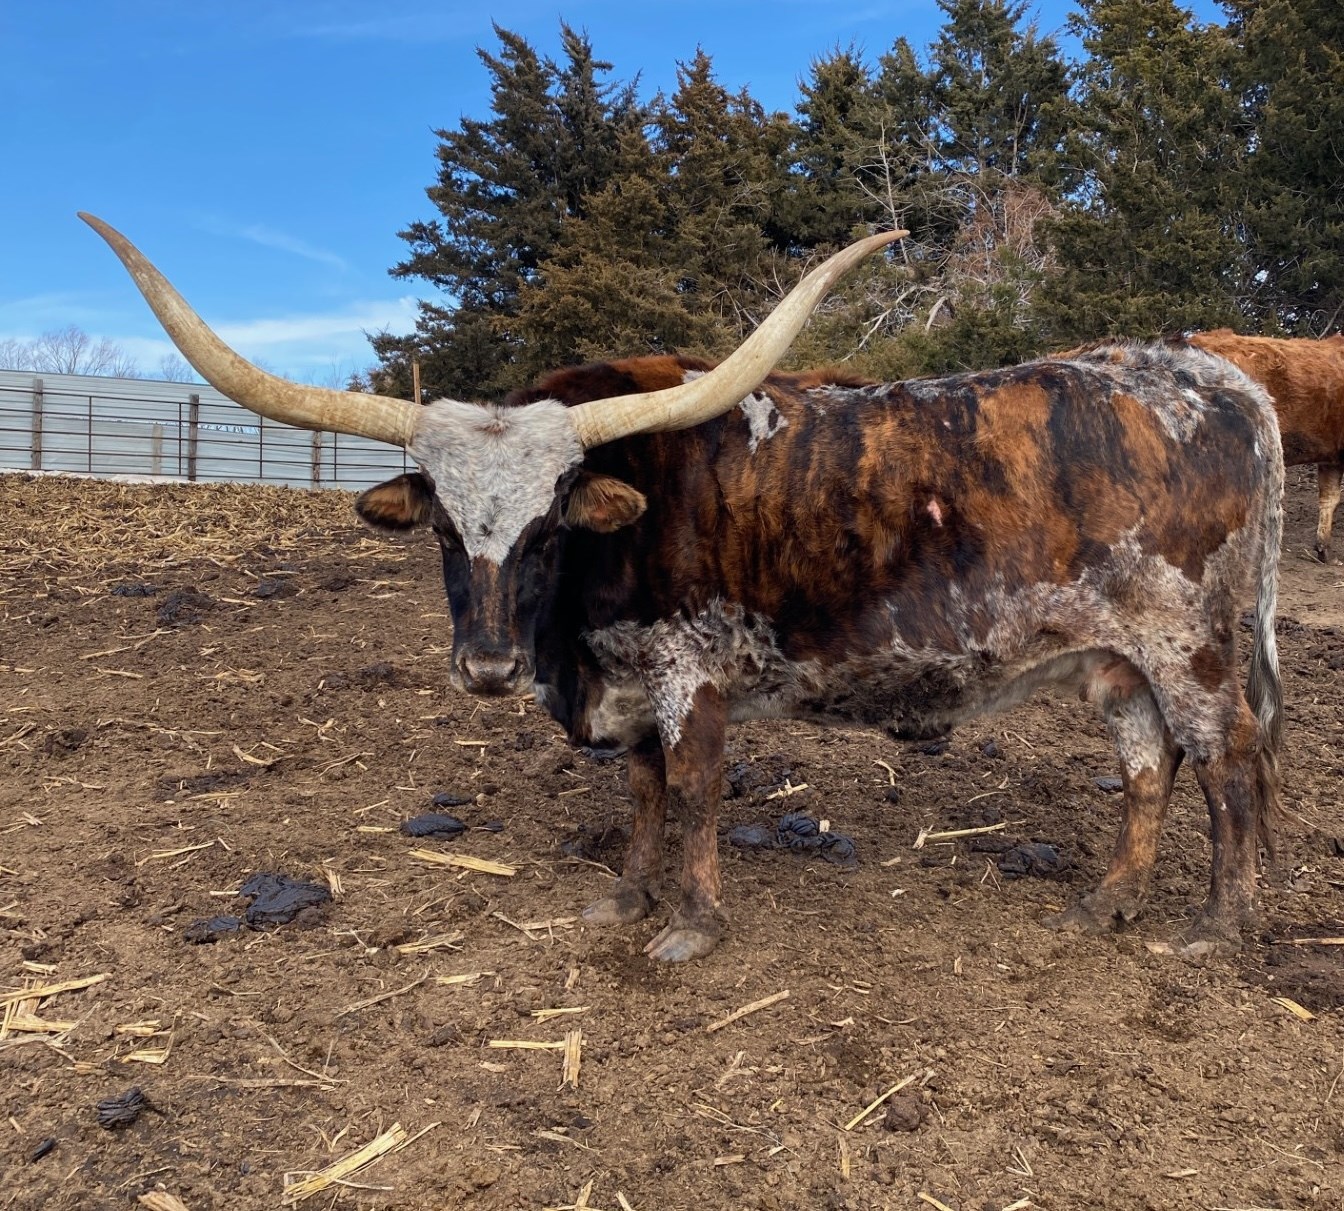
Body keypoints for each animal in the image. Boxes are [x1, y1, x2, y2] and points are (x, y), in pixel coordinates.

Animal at [82, 213, 1285, 963]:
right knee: (1150, 766)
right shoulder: (627, 682)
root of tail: (1214, 374)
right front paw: (626, 891)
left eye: (549, 525)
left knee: (1229, 763)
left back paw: (1216, 927)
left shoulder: (690, 671)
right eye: (444, 525)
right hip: (1120, 660)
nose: (486, 665)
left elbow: (697, 785)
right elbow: (644, 788)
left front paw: (691, 921)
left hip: (1192, 643)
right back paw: (1109, 900)